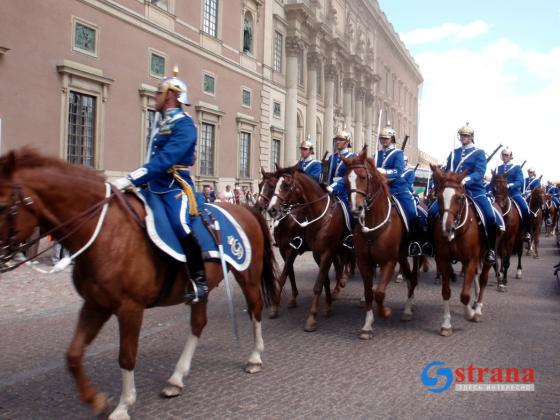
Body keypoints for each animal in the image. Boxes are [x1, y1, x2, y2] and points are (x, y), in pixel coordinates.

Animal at [0, 149, 278, 420]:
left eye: (2, 206)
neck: (106, 233)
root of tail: (246, 210)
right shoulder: (95, 305)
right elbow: (73, 355)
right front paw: (97, 401)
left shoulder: (130, 308)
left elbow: (126, 356)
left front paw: (123, 406)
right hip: (204, 288)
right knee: (198, 324)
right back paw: (176, 379)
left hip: (248, 275)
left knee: (255, 309)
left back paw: (255, 357)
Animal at [266, 165, 350, 332]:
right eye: (264, 185)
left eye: (286, 185)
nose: (271, 210)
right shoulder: (312, 253)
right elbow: (292, 275)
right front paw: (327, 306)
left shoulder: (320, 252)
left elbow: (316, 285)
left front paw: (311, 319)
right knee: (339, 266)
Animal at [342, 147, 420, 338]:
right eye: (346, 179)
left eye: (363, 177)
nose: (356, 209)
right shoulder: (364, 261)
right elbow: (369, 292)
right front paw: (367, 325)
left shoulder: (389, 261)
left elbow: (379, 292)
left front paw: (385, 312)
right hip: (402, 256)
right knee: (409, 278)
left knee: (412, 278)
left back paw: (408, 309)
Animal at [430, 166, 492, 336]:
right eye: (438, 197)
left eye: (459, 198)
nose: (447, 229)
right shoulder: (443, 260)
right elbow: (446, 292)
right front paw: (446, 324)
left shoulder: (470, 260)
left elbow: (464, 295)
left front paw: (469, 313)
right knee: (477, 277)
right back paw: (475, 302)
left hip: (487, 256)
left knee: (483, 279)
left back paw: (478, 309)